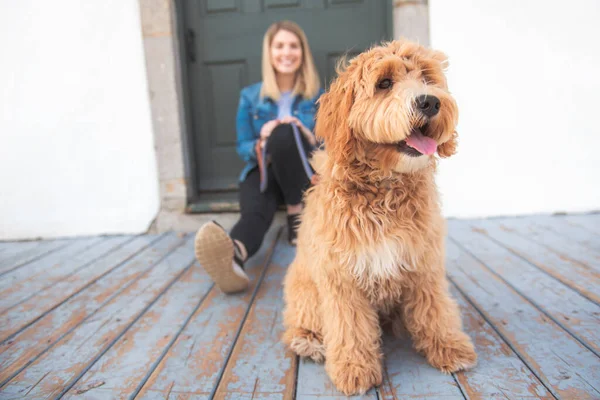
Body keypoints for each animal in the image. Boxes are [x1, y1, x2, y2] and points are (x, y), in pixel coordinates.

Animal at [282, 39, 478, 396]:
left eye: (427, 78)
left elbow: (435, 308)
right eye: (384, 83)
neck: (384, 191)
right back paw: (309, 341)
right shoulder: (341, 278)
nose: (430, 101)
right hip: (304, 290)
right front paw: (354, 368)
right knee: (302, 320)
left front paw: (448, 346)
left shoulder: (423, 264)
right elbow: (350, 327)